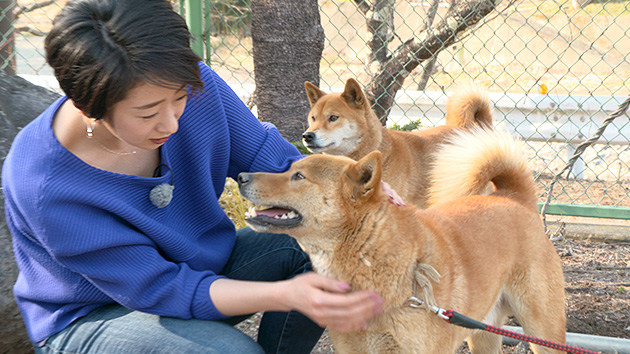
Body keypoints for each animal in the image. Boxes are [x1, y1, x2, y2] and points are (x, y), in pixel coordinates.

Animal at [239, 128, 572, 354]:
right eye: (289, 170)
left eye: (298, 176)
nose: (241, 176)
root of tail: (514, 197)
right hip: (482, 332)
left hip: (543, 331)